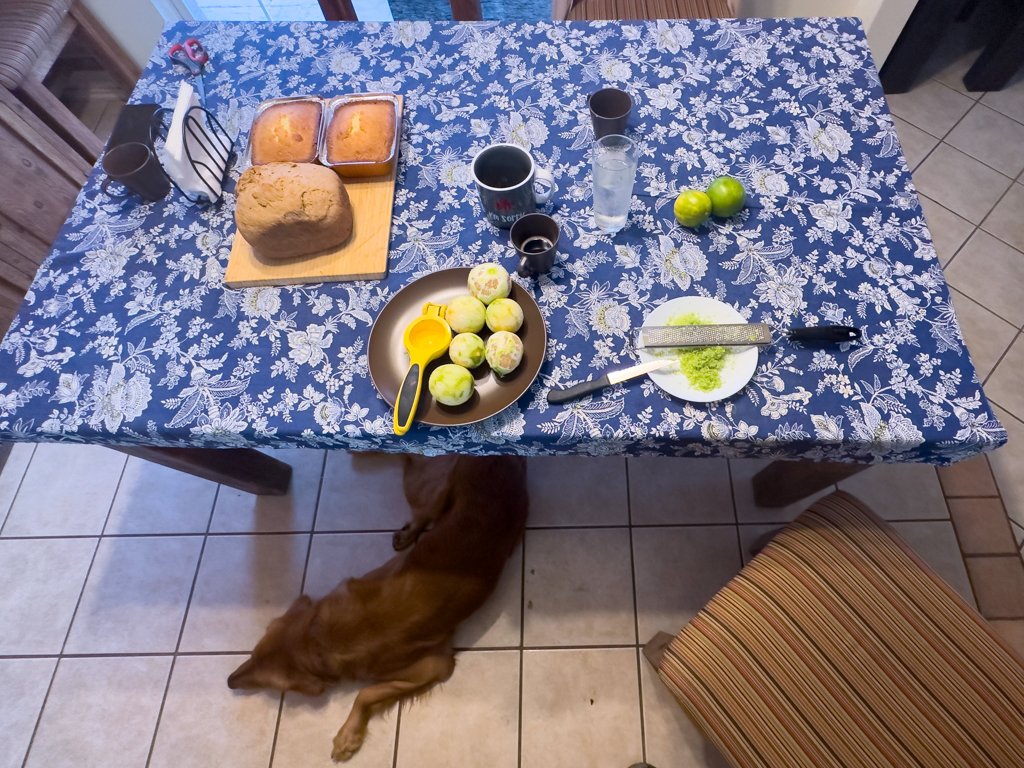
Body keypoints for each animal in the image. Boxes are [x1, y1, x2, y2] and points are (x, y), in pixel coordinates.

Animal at [225, 456, 528, 765]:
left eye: (274, 685)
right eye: (253, 654)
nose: (229, 682)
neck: (321, 638)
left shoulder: (434, 665)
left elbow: (366, 693)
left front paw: (347, 736)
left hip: (427, 486)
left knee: (420, 500)